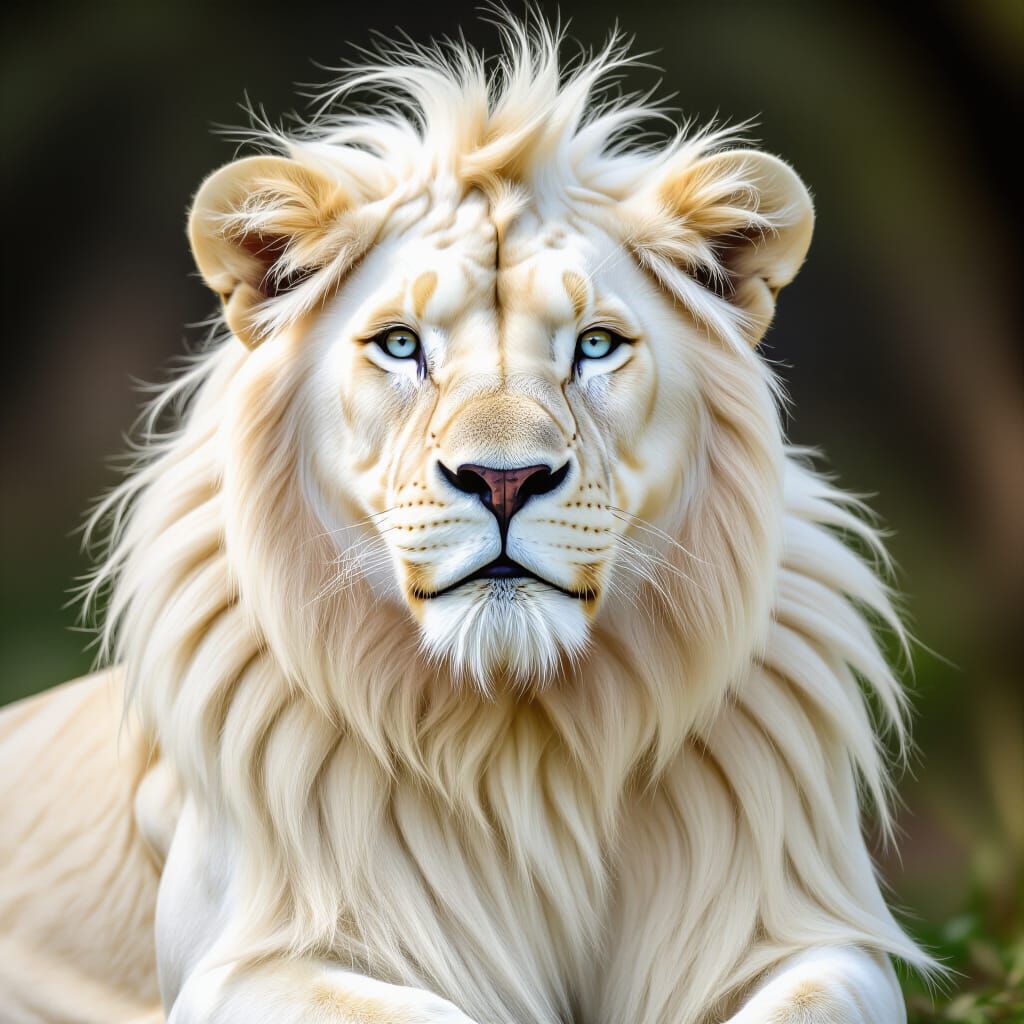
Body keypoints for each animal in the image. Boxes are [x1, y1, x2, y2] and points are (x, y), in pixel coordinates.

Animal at [0, 18, 934, 1024]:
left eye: (594, 345)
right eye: (401, 344)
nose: (504, 479)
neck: (522, 738)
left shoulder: (804, 935)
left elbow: (811, 997)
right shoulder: (241, 964)